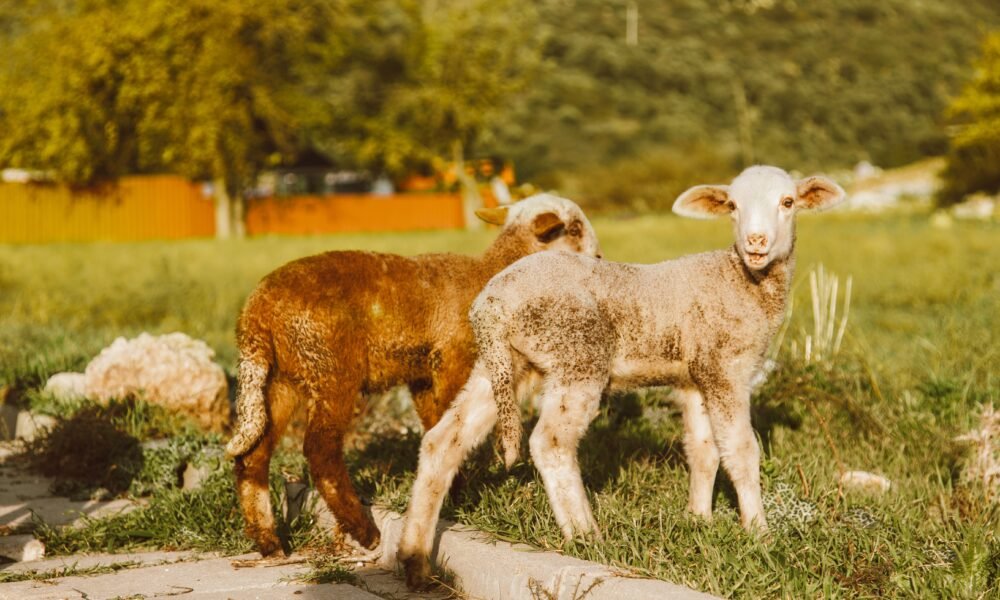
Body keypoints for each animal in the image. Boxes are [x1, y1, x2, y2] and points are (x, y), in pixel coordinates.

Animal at [225, 193, 601, 557]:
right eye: (574, 228)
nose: (599, 257)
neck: (490, 273)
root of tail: (256, 313)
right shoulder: (454, 359)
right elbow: (451, 426)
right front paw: (460, 493)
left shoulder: (422, 375)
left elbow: (436, 424)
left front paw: (452, 492)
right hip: (331, 369)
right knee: (320, 450)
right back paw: (364, 531)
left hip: (281, 378)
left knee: (252, 455)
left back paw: (268, 542)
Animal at [397, 165, 846, 588]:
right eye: (733, 206)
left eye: (788, 202)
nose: (756, 242)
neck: (740, 279)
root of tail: (492, 302)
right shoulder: (725, 368)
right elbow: (741, 450)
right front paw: (759, 533)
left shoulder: (696, 376)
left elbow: (703, 450)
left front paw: (699, 520)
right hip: (578, 353)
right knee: (550, 442)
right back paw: (585, 535)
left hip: (506, 363)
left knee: (444, 440)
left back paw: (414, 558)